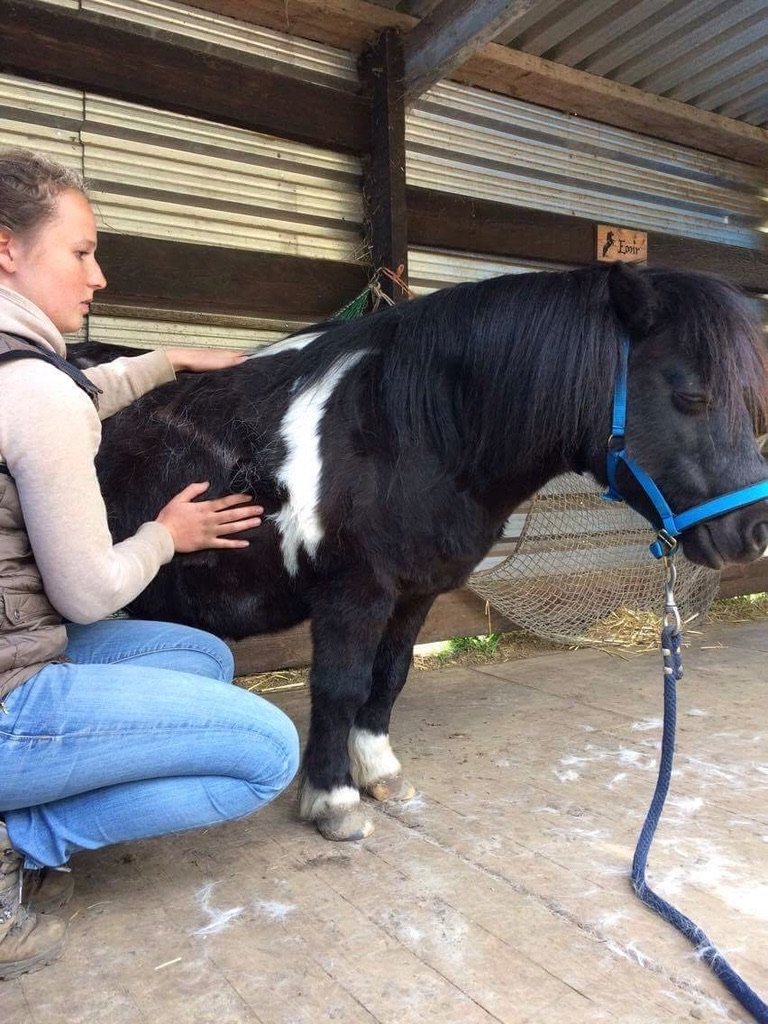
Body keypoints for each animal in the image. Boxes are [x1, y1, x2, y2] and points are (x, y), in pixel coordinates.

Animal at [70, 261, 768, 842]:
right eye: (693, 396)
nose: (753, 532)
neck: (400, 431)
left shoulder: (414, 592)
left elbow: (389, 678)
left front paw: (379, 773)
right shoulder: (353, 594)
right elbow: (341, 686)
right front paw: (333, 800)